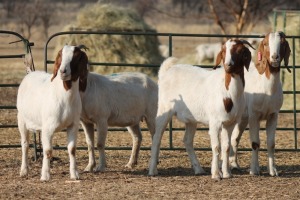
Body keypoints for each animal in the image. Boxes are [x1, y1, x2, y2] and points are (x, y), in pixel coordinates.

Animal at [148, 39, 253, 180]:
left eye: (241, 51)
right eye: (223, 50)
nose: (228, 65)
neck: (228, 92)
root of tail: (166, 72)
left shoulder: (230, 123)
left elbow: (226, 147)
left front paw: (226, 173)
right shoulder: (215, 122)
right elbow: (216, 147)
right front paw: (216, 174)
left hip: (191, 119)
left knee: (187, 141)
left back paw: (198, 169)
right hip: (164, 109)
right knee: (157, 138)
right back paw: (153, 171)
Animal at [230, 31, 290, 177]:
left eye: (282, 43)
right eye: (266, 43)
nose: (275, 57)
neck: (266, 87)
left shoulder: (273, 115)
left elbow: (271, 143)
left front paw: (273, 170)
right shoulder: (254, 115)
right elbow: (255, 143)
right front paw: (254, 170)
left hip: (242, 119)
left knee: (234, 138)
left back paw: (234, 165)